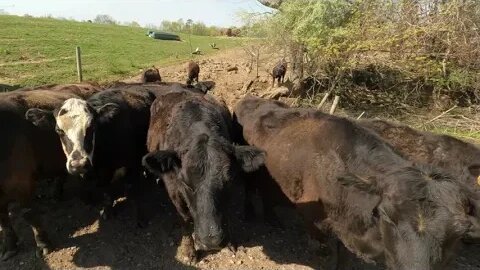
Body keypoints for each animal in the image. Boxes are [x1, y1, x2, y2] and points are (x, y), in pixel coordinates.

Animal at [142, 90, 264, 264]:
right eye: (185, 183)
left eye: (229, 181)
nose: (211, 241)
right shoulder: (175, 191)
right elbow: (186, 220)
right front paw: (189, 251)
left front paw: (230, 242)